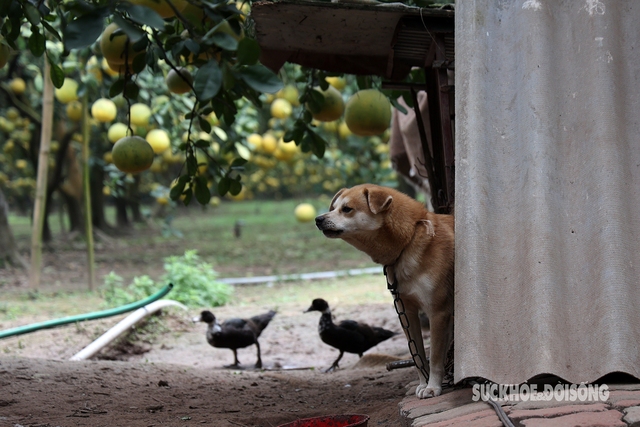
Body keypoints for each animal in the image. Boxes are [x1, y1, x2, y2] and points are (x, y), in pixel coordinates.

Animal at [316, 186, 456, 400]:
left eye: (346, 209)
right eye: (334, 208)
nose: (318, 219)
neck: (409, 240)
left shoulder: (438, 313)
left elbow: (434, 357)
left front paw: (433, 387)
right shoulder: (407, 313)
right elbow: (418, 356)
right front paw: (423, 383)